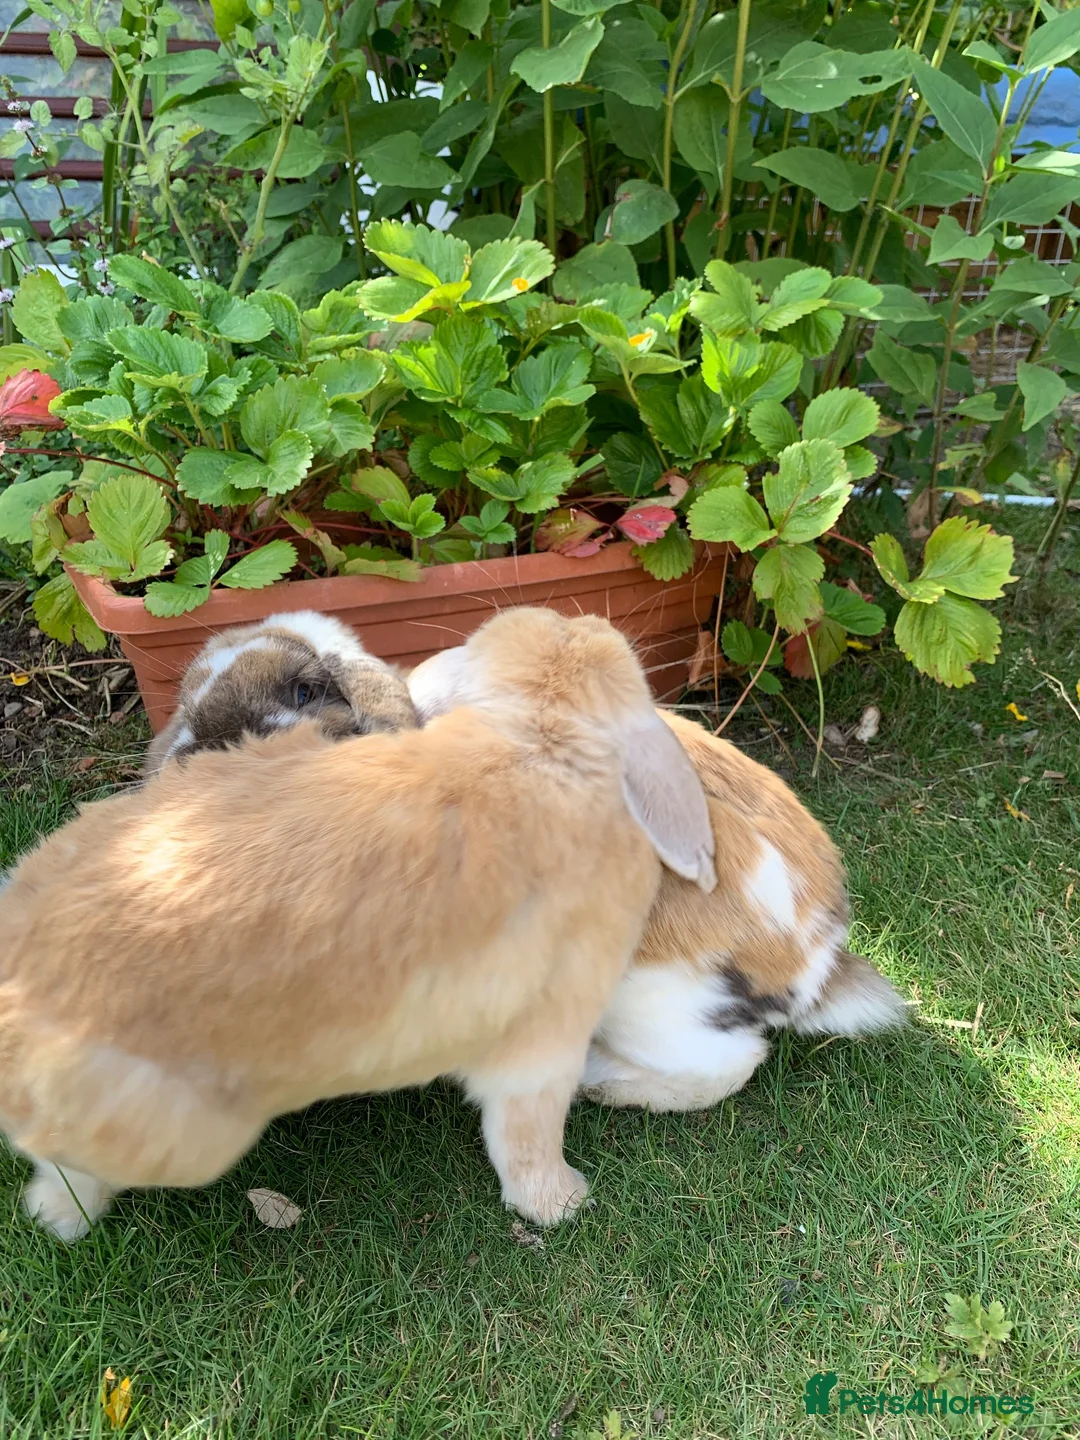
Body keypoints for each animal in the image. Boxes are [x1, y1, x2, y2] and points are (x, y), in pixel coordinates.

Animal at [0, 608, 716, 1241]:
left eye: (306, 688)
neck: (541, 739)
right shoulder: (544, 1033)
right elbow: (526, 1129)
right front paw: (561, 1204)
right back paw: (58, 1219)